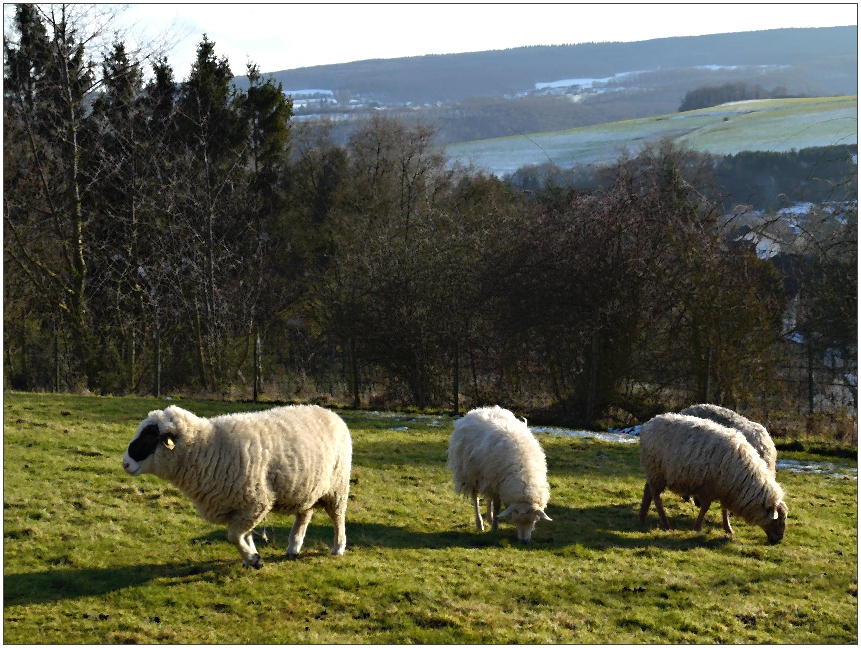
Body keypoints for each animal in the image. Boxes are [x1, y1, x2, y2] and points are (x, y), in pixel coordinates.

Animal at [121, 404, 350, 568]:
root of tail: (329, 412)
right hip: (306, 488)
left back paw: (338, 547)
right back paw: (293, 547)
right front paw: (251, 557)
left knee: (338, 517)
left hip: (337, 487)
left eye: (151, 436)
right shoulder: (240, 505)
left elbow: (233, 536)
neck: (207, 447)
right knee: (304, 515)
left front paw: (253, 559)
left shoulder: (255, 501)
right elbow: (243, 535)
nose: (125, 464)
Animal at [444, 408, 552, 544]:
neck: (523, 472)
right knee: (475, 497)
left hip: (489, 476)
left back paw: (489, 518)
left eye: (534, 521)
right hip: (471, 473)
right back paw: (480, 523)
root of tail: (477, 410)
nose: (524, 541)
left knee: (488, 497)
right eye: (515, 520)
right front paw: (495, 529)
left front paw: (493, 522)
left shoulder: (497, 481)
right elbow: (497, 506)